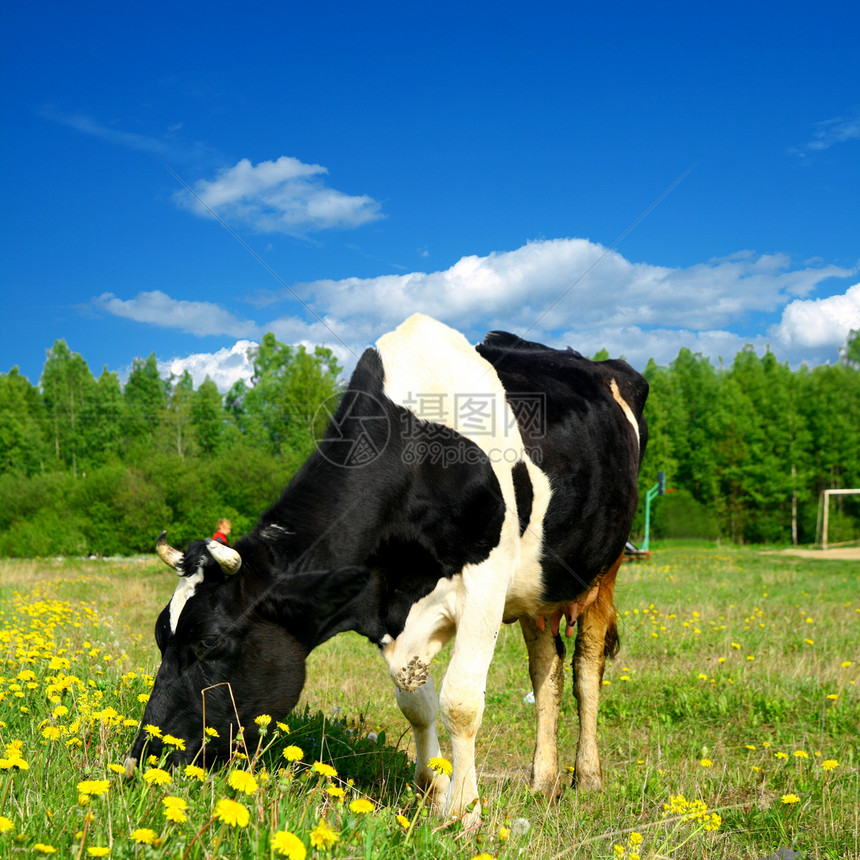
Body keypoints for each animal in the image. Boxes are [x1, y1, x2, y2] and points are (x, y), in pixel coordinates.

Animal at [122, 314, 644, 820]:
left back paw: (587, 777)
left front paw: (464, 811)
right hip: (538, 586)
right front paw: (434, 790)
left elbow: (460, 702)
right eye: (160, 636)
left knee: (586, 665)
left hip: (607, 565)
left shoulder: (485, 580)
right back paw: (542, 781)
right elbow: (415, 702)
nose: (142, 756)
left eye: (210, 643)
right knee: (546, 668)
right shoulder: (394, 605)